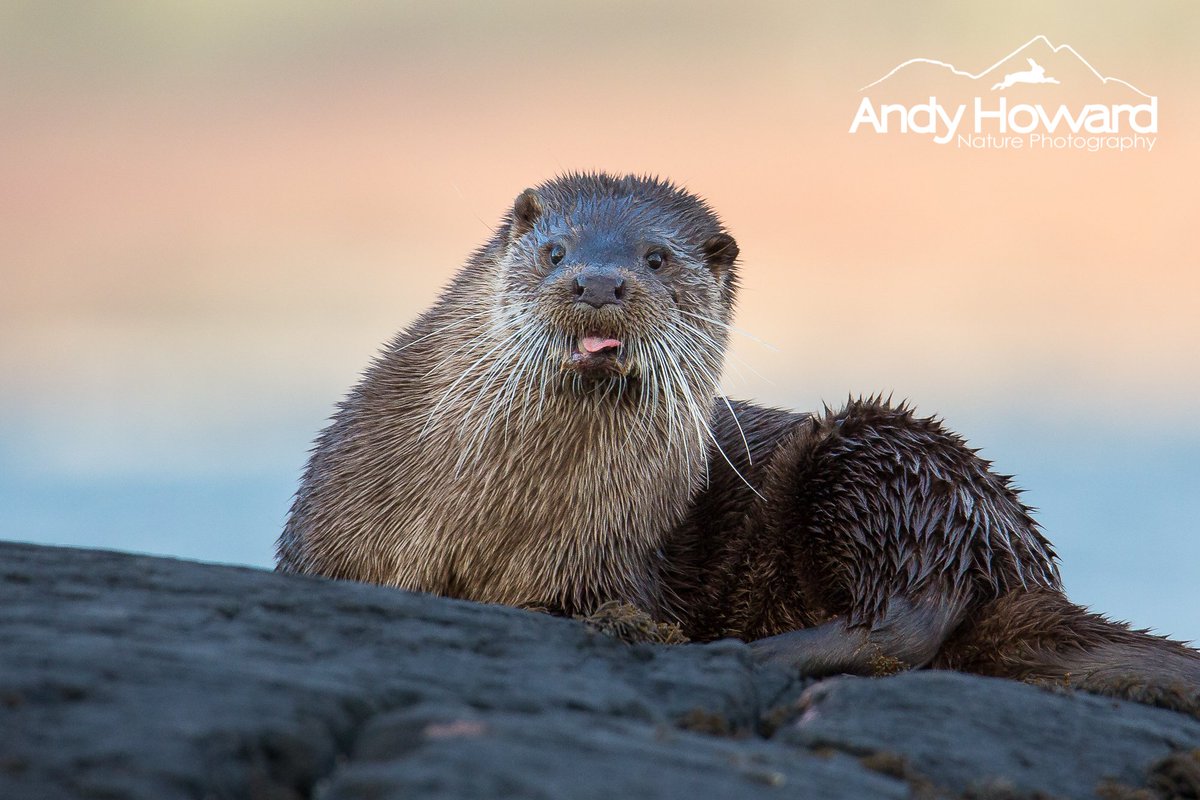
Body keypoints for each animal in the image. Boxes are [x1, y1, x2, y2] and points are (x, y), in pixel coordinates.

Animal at [278, 172, 1200, 715]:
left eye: (656, 257)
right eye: (556, 249)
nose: (600, 281)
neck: (496, 523)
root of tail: (1013, 556)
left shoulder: (618, 556)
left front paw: (633, 625)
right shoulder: (324, 538)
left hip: (885, 458)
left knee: (903, 622)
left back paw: (731, 646)